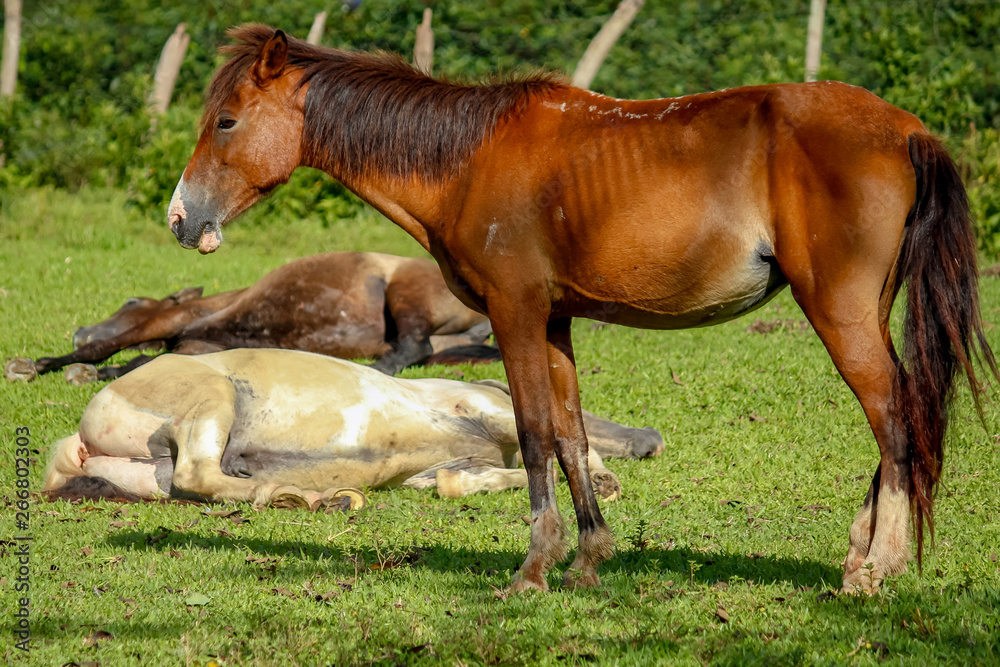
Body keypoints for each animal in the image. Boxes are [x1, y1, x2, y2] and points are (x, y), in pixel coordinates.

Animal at [6, 252, 498, 383]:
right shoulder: (199, 345)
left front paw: (43, 365)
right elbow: (144, 362)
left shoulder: (173, 324)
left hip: (402, 290)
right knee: (423, 350)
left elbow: (111, 349)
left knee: (415, 344)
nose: (78, 329)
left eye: (130, 302)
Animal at [43, 349, 665, 508]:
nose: (651, 440)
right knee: (199, 472)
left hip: (145, 474)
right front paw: (600, 479)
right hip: (212, 397)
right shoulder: (478, 407)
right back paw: (306, 494)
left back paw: (322, 497)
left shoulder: (447, 469)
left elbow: (457, 483)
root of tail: (80, 439)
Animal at [167, 25, 998, 594]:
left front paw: (534, 564)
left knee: (895, 419)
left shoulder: (515, 314)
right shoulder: (556, 321)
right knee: (903, 418)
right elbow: (570, 434)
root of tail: (907, 129)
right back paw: (860, 553)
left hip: (840, 313)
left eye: (228, 121)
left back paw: (877, 566)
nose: (181, 218)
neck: (467, 158)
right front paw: (588, 557)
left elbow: (535, 431)